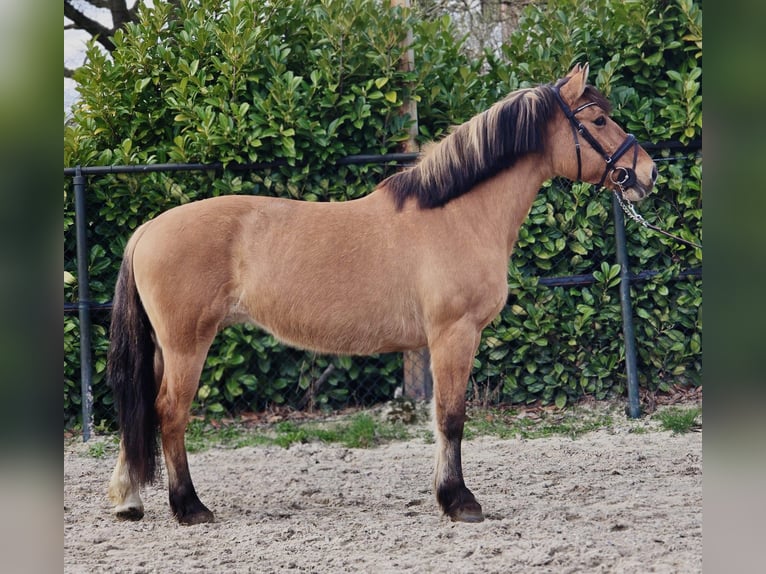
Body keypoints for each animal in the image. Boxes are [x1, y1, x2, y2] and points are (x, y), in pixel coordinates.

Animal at [106, 63, 657, 525]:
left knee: (143, 409)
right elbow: (451, 417)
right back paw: (189, 507)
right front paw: (460, 502)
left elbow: (440, 418)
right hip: (186, 345)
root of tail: (148, 229)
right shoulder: (454, 335)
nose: (647, 173)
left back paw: (130, 500)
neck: (457, 214)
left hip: (164, 348)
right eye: (600, 119)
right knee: (170, 414)